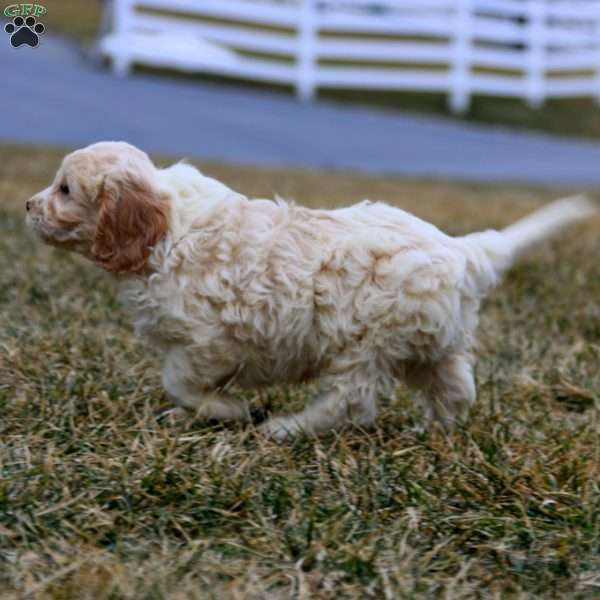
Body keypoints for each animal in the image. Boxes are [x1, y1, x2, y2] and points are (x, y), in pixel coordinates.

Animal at [27, 142, 596, 440]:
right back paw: (432, 433)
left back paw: (286, 428)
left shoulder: (209, 341)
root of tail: (463, 251)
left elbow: (179, 380)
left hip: (363, 342)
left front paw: (227, 411)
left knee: (351, 402)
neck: (166, 226)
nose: (28, 206)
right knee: (457, 388)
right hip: (431, 345)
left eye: (65, 190)